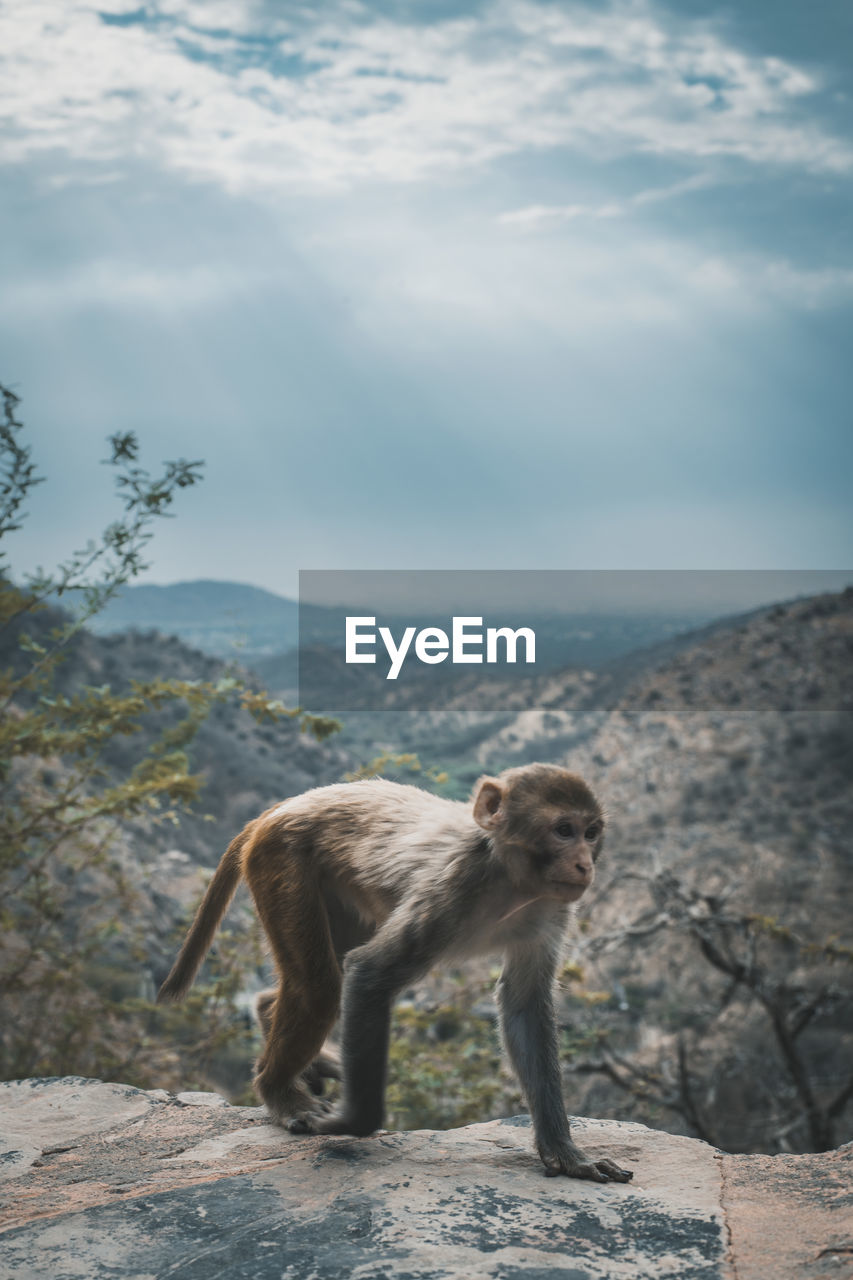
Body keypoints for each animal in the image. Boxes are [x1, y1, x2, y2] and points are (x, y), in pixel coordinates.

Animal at [156, 762, 627, 1182]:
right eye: (563, 830)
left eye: (591, 832)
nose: (585, 865)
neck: (509, 881)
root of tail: (280, 809)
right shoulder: (450, 891)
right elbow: (368, 975)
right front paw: (353, 1122)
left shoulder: (552, 909)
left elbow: (524, 1004)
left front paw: (565, 1153)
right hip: (282, 860)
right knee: (319, 988)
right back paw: (278, 1091)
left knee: (309, 982)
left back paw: (276, 1023)